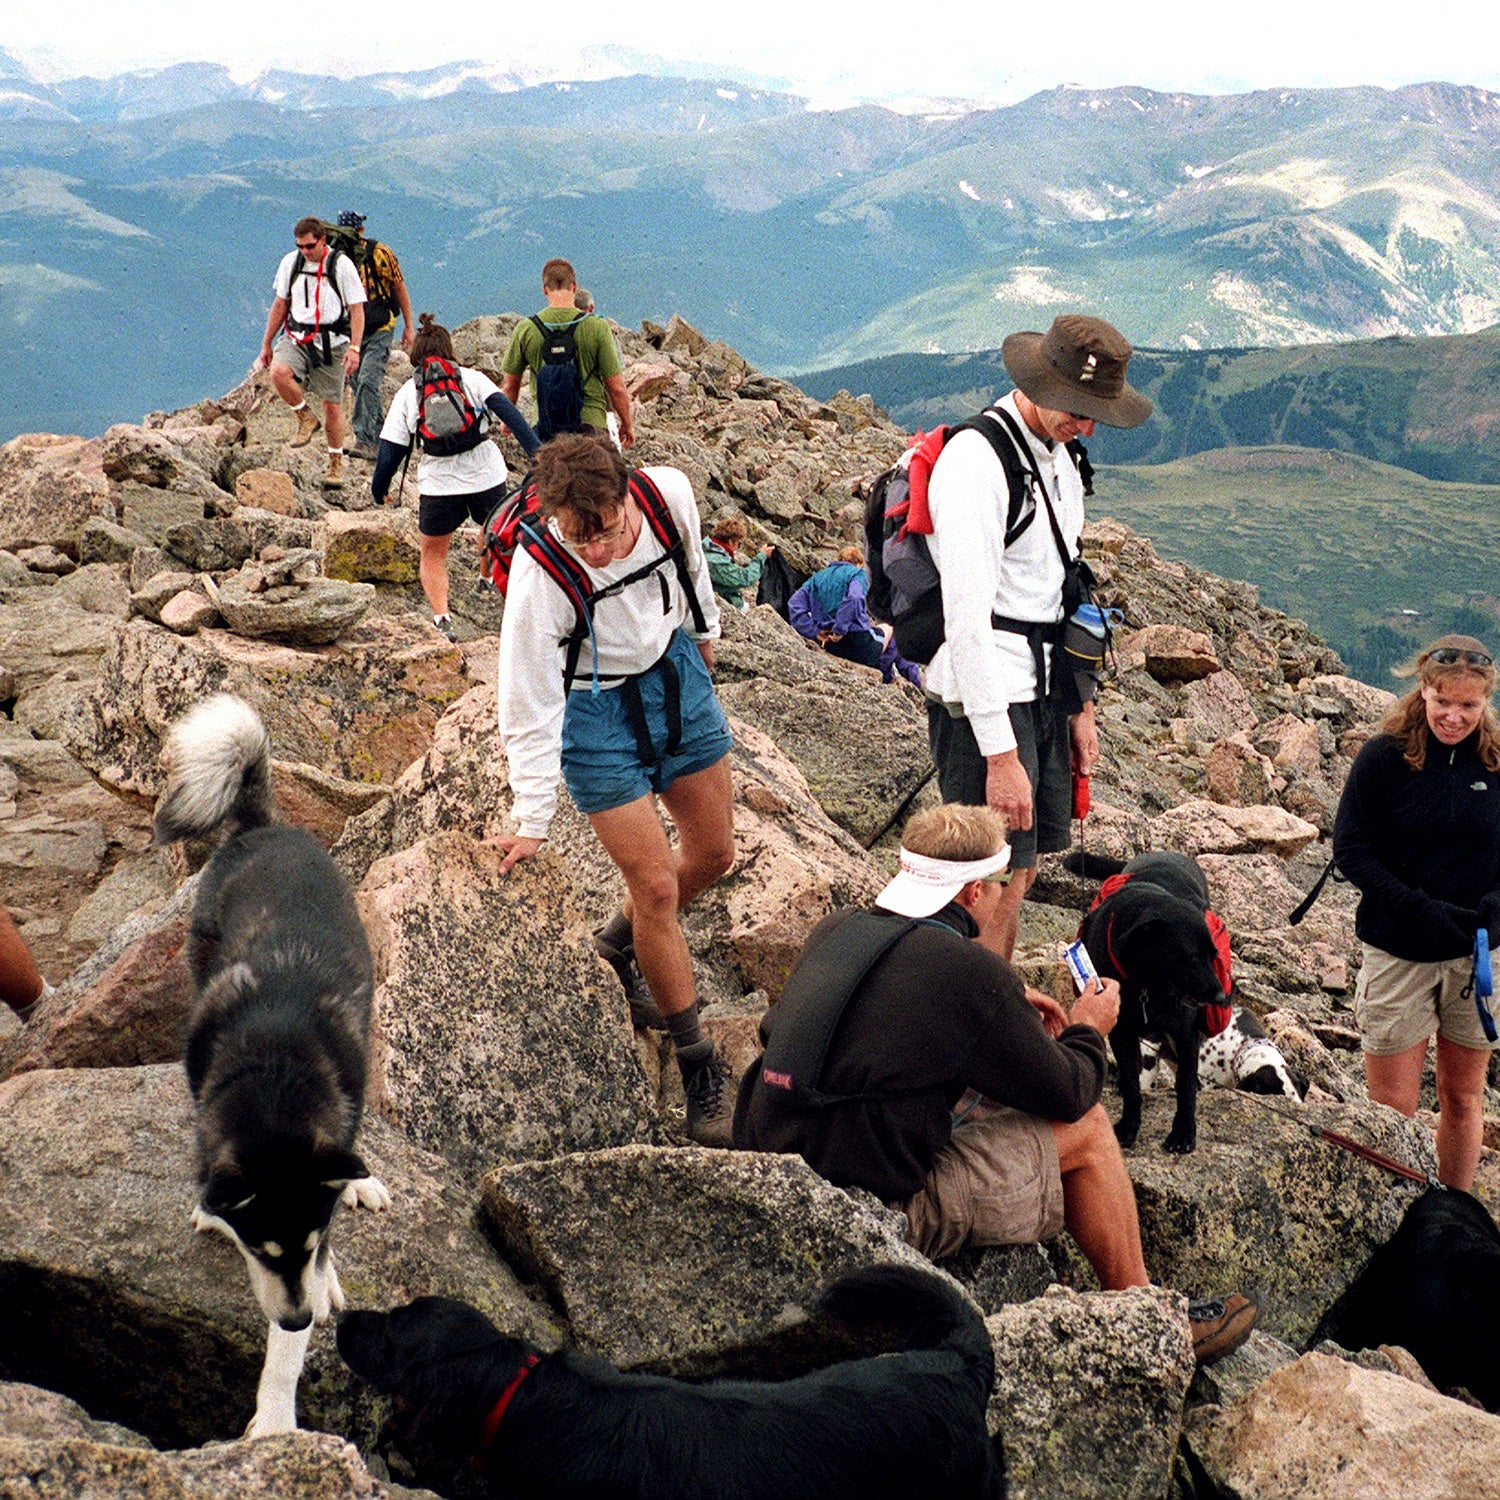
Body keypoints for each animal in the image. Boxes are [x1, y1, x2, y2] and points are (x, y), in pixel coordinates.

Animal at [155, 696, 390, 1434]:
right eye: (261, 1249)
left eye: (310, 1244)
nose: (297, 1317)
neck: (274, 1076)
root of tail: (266, 827)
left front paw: (277, 1422)